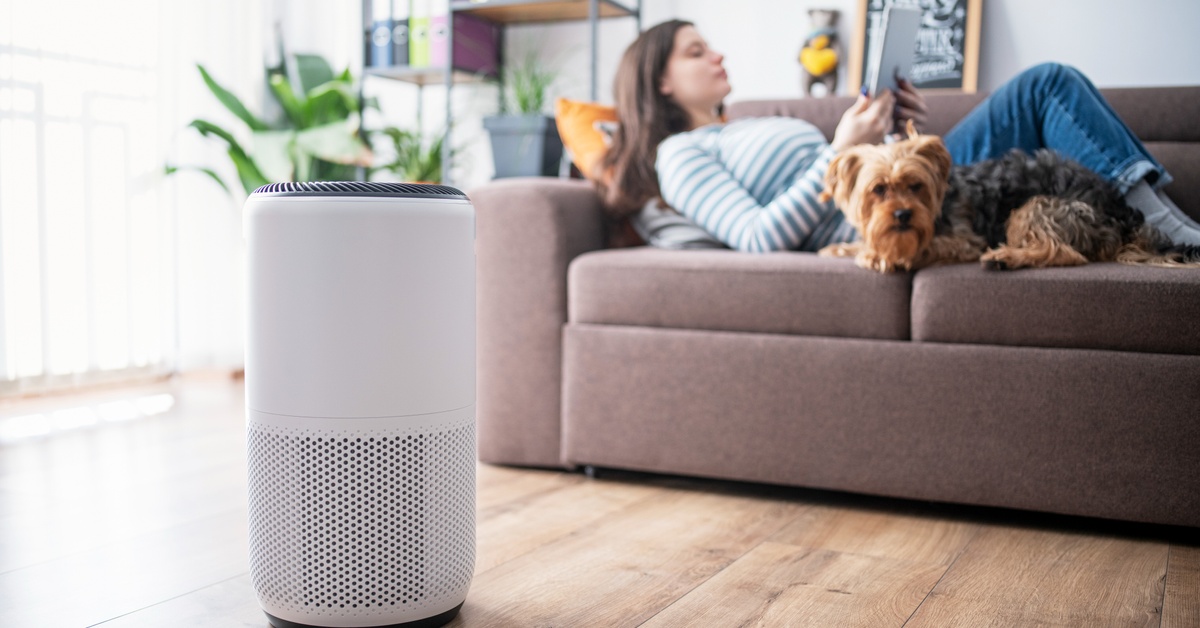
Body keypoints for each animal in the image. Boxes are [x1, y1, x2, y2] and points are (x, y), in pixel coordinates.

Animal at [817, 122, 1200, 272]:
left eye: (915, 186)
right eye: (879, 189)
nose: (902, 215)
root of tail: (1122, 212)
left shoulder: (963, 240)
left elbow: (925, 246)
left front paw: (885, 256)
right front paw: (841, 248)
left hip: (1038, 207)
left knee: (1064, 252)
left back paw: (1005, 256)